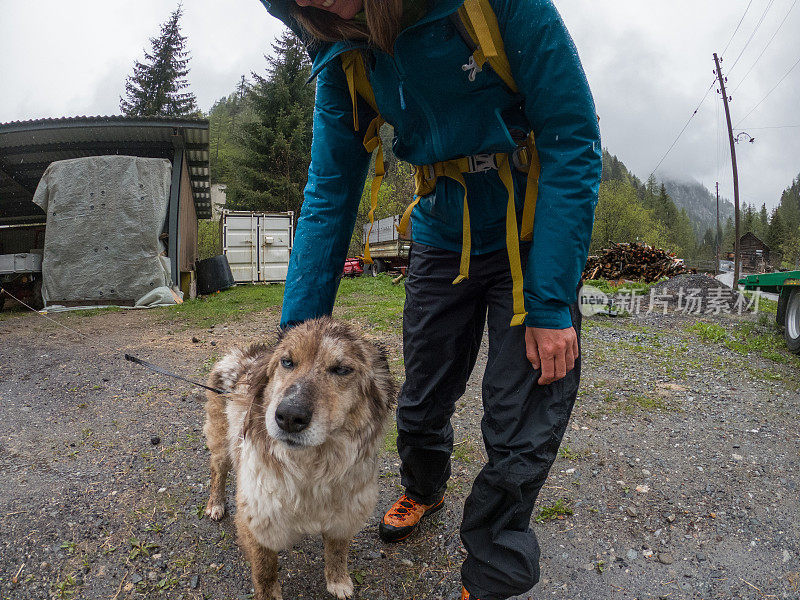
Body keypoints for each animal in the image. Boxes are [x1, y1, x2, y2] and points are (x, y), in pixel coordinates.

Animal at [203, 316, 396, 596]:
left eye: (341, 369)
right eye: (287, 362)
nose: (289, 417)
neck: (310, 468)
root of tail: (240, 353)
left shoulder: (345, 513)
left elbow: (337, 552)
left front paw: (338, 581)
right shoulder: (258, 519)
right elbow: (264, 572)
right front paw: (269, 595)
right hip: (221, 442)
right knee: (217, 471)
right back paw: (215, 504)